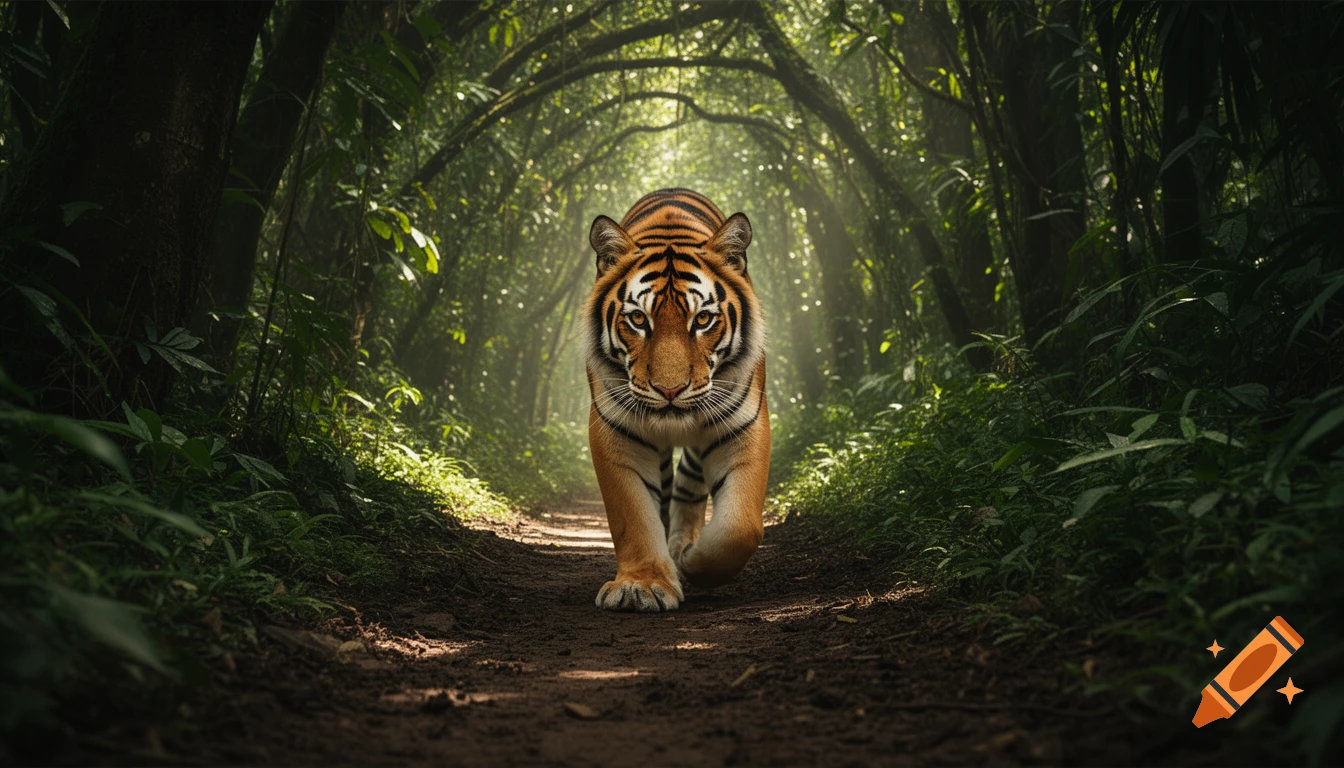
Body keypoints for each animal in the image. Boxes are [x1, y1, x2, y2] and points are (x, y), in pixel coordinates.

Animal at [583, 188, 770, 612]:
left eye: (702, 320)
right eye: (638, 319)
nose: (669, 390)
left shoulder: (745, 426)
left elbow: (739, 527)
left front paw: (689, 561)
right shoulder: (615, 431)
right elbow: (633, 516)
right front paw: (643, 585)